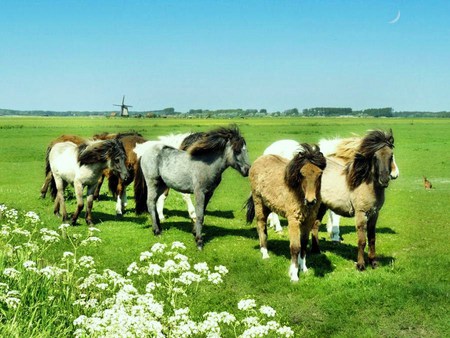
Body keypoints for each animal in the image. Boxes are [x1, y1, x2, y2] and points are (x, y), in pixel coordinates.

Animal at [244, 144, 326, 282]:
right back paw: (265, 253)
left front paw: (304, 269)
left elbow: (303, 245)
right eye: (302, 174)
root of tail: (259, 160)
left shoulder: (308, 221)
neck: (298, 192)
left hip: (268, 206)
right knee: (261, 225)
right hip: (259, 203)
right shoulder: (293, 220)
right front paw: (294, 275)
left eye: (320, 174)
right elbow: (295, 247)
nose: (310, 201)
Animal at [312, 128, 396, 270]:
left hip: (322, 206)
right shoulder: (361, 214)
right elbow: (362, 241)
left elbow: (372, 238)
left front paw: (373, 262)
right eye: (375, 157)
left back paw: (316, 251)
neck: (364, 185)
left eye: (391, 156)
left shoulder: (374, 214)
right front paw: (361, 265)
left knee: (315, 225)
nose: (384, 180)